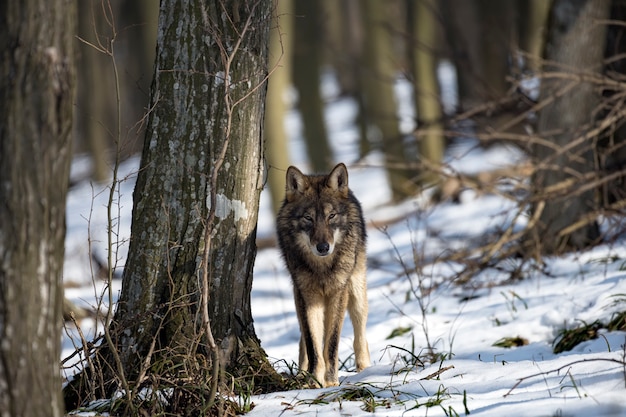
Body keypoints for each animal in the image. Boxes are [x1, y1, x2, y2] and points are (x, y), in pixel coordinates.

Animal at [274, 162, 370, 386]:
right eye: (308, 218)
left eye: (331, 216)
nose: (323, 247)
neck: (322, 267)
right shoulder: (307, 297)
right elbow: (313, 344)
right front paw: (314, 381)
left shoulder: (339, 293)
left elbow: (331, 344)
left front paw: (331, 381)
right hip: (299, 299)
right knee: (303, 339)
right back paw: (301, 373)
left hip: (356, 292)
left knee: (360, 333)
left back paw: (365, 369)